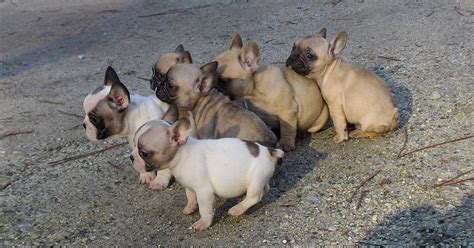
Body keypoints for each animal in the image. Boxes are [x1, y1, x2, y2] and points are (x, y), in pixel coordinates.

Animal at [130, 118, 284, 231]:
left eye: (144, 152)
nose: (131, 157)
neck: (182, 154)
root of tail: (269, 151)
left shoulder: (204, 192)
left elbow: (204, 209)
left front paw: (203, 223)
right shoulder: (190, 186)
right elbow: (190, 197)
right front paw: (190, 208)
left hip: (255, 178)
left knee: (253, 197)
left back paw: (237, 209)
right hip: (261, 177)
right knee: (265, 189)